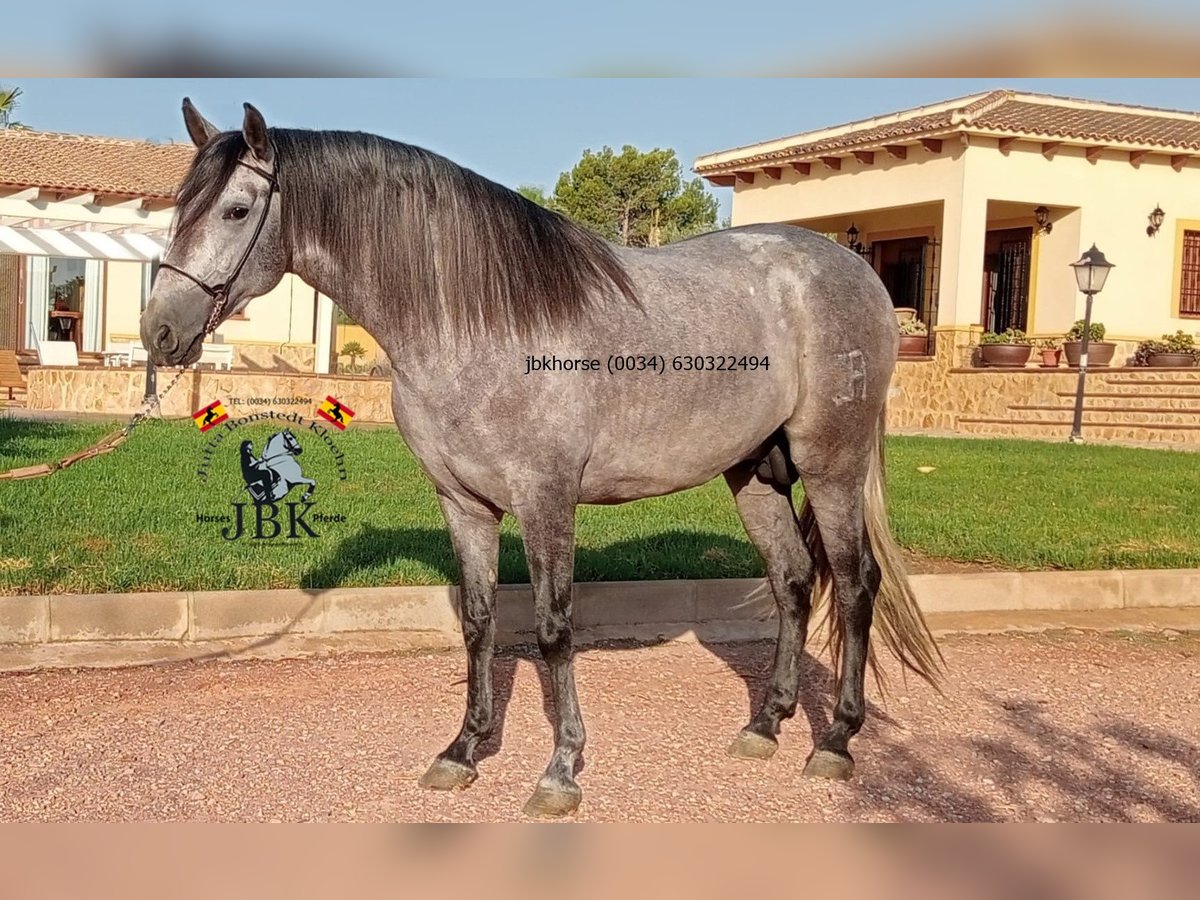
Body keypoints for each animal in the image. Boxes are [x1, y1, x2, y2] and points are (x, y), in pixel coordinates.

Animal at [142, 98, 945, 816]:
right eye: (179, 207)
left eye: (236, 210)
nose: (160, 332)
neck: (477, 324)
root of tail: (854, 270)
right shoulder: (464, 504)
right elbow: (478, 622)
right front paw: (463, 751)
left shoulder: (546, 501)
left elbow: (555, 628)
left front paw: (560, 772)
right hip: (753, 472)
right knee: (793, 581)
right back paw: (765, 725)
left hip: (831, 464)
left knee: (854, 586)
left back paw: (834, 741)